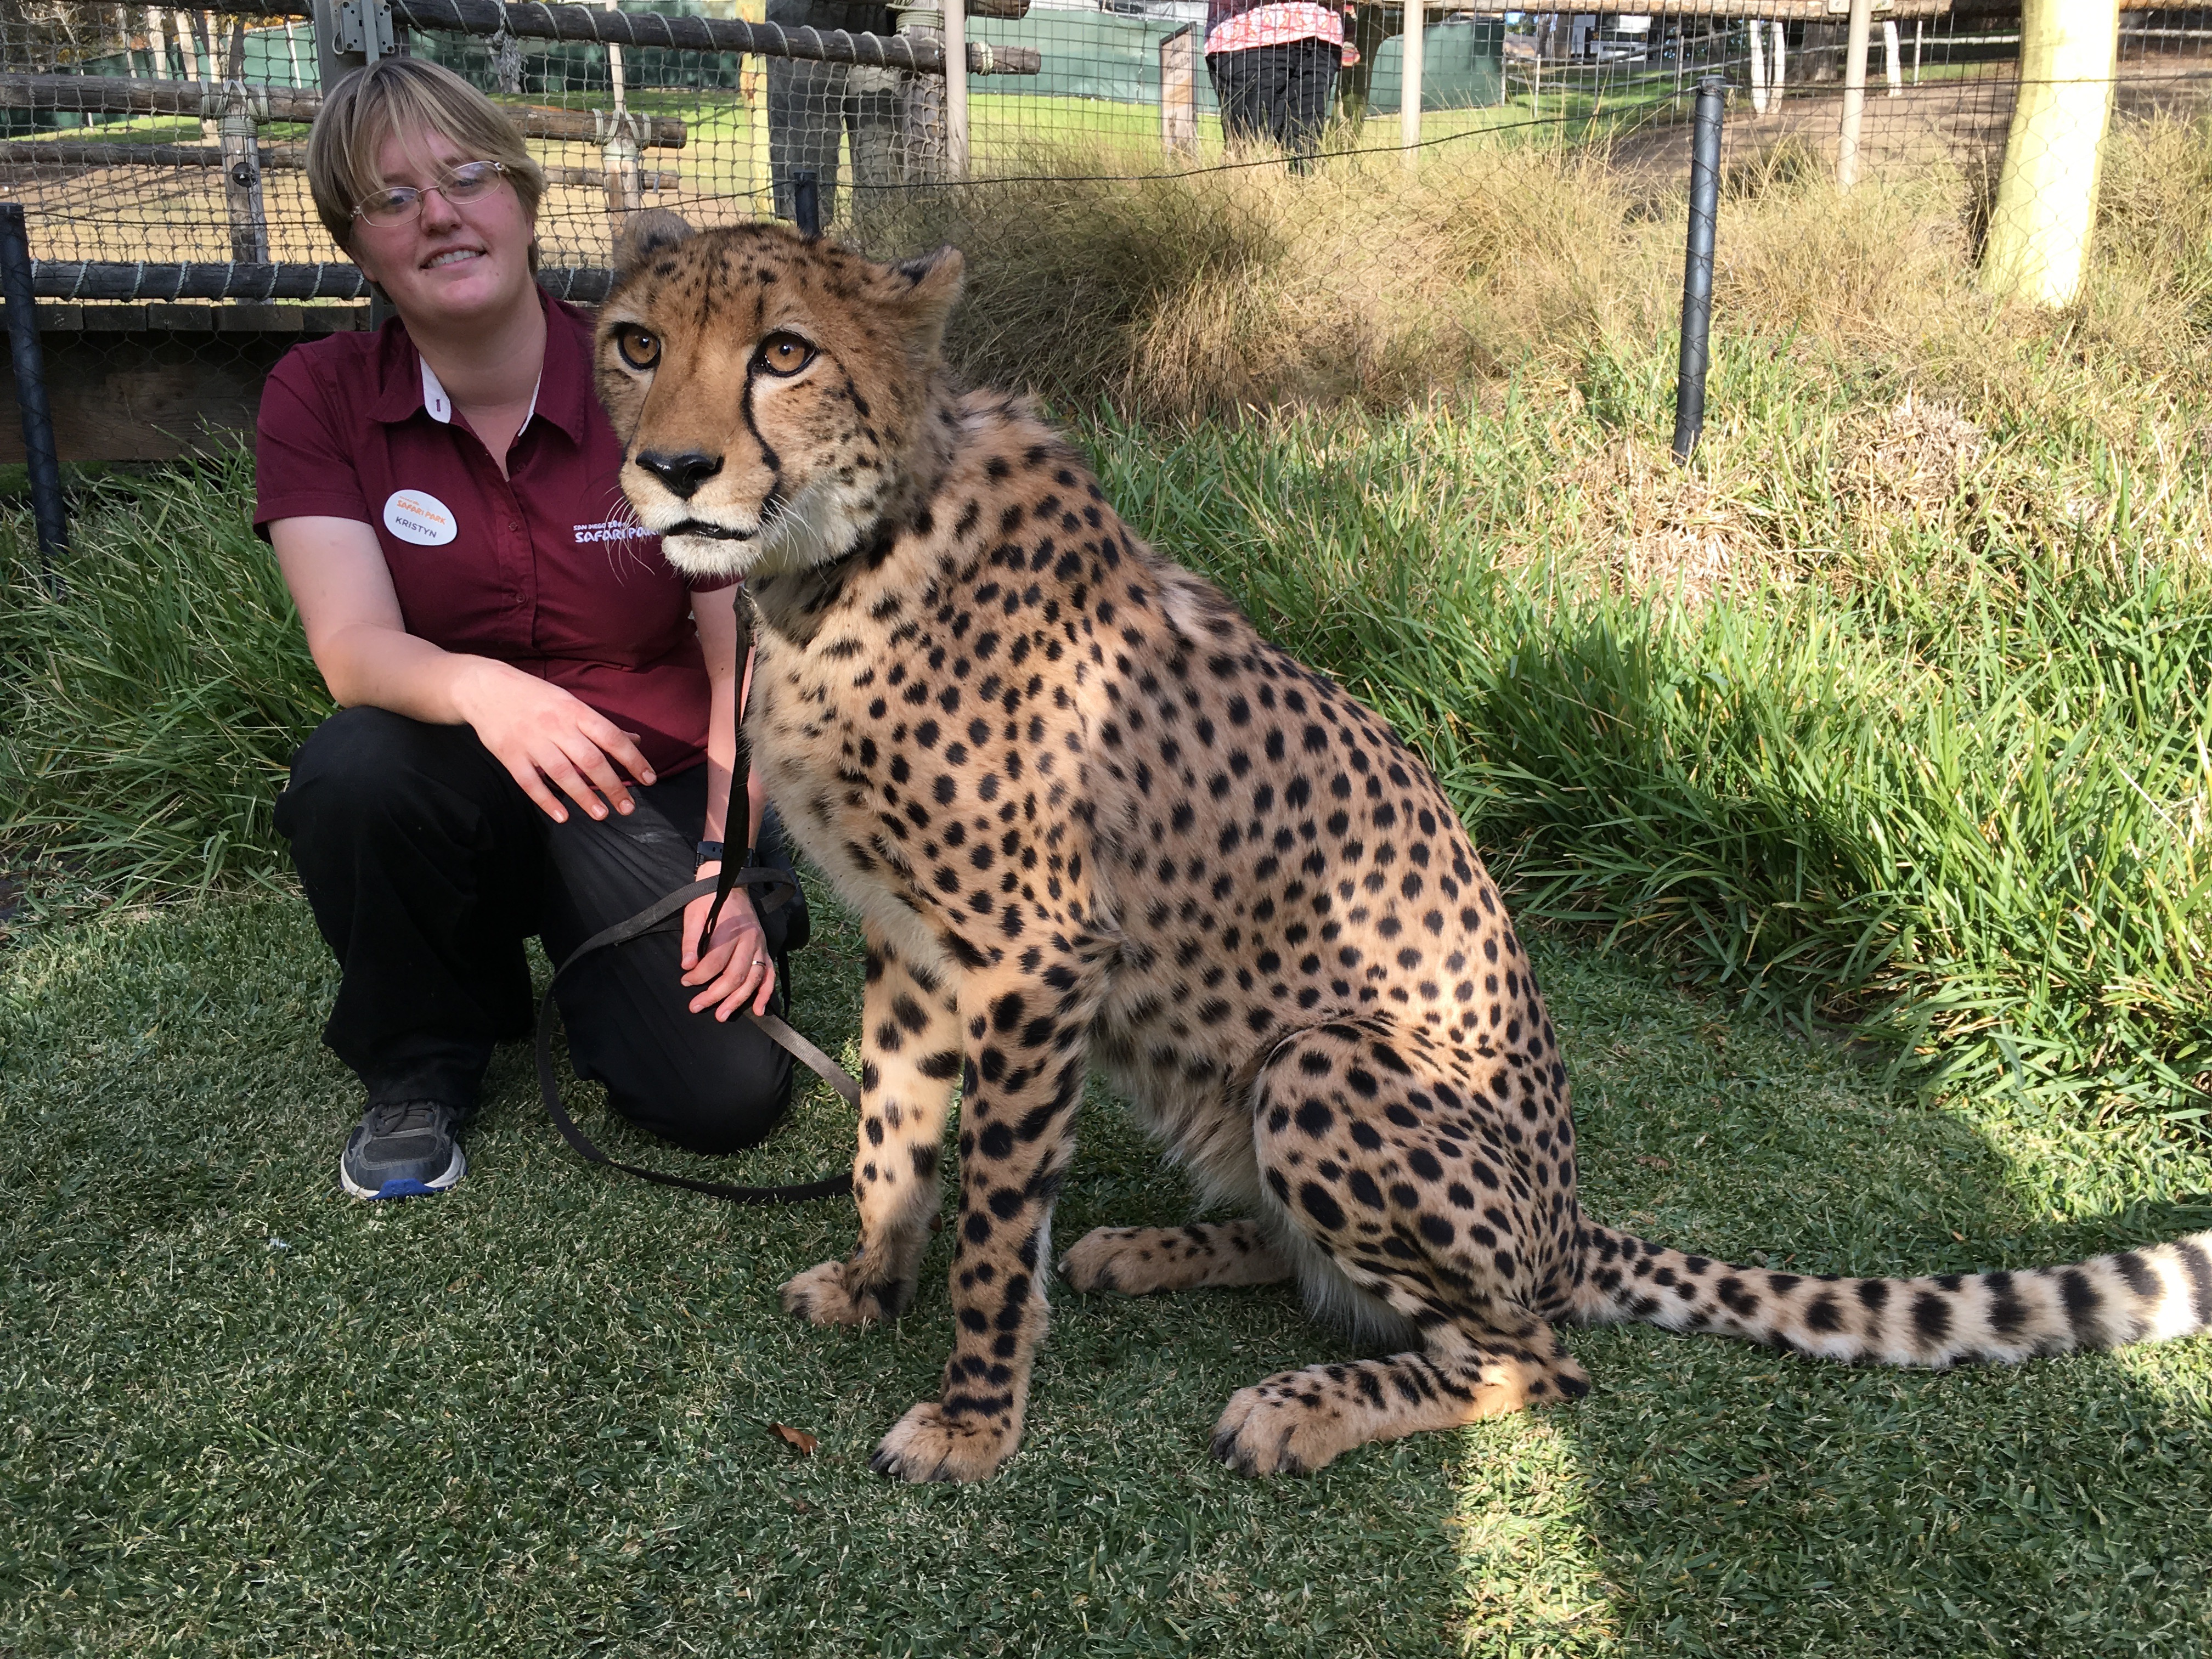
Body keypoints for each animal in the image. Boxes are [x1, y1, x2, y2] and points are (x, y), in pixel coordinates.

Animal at [592, 218, 2212, 1477]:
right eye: (632, 343)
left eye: (784, 354)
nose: (673, 468)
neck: (849, 558)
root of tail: (1570, 1224)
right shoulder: (919, 942)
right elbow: (892, 1133)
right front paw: (875, 1283)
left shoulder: (1034, 960)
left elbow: (993, 1219)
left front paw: (974, 1421)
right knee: (1327, 1266)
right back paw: (1150, 1251)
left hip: (1325, 1063)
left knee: (1531, 1360)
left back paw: (1300, 1408)